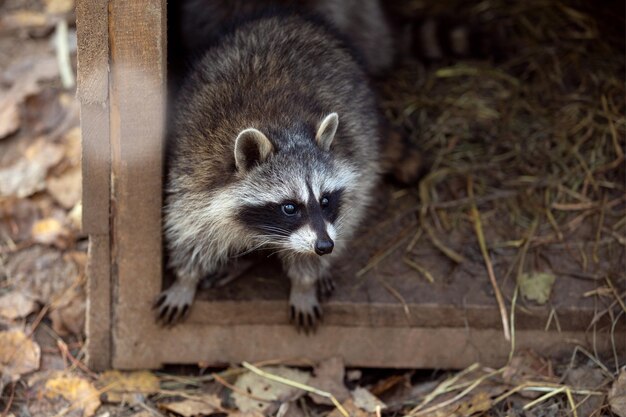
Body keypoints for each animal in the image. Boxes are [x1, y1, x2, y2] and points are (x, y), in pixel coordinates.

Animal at [156, 13, 380, 330]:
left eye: (325, 200)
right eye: (290, 207)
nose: (325, 246)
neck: (283, 130)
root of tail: (288, 18)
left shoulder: (355, 166)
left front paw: (305, 282)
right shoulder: (194, 173)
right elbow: (190, 232)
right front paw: (185, 280)